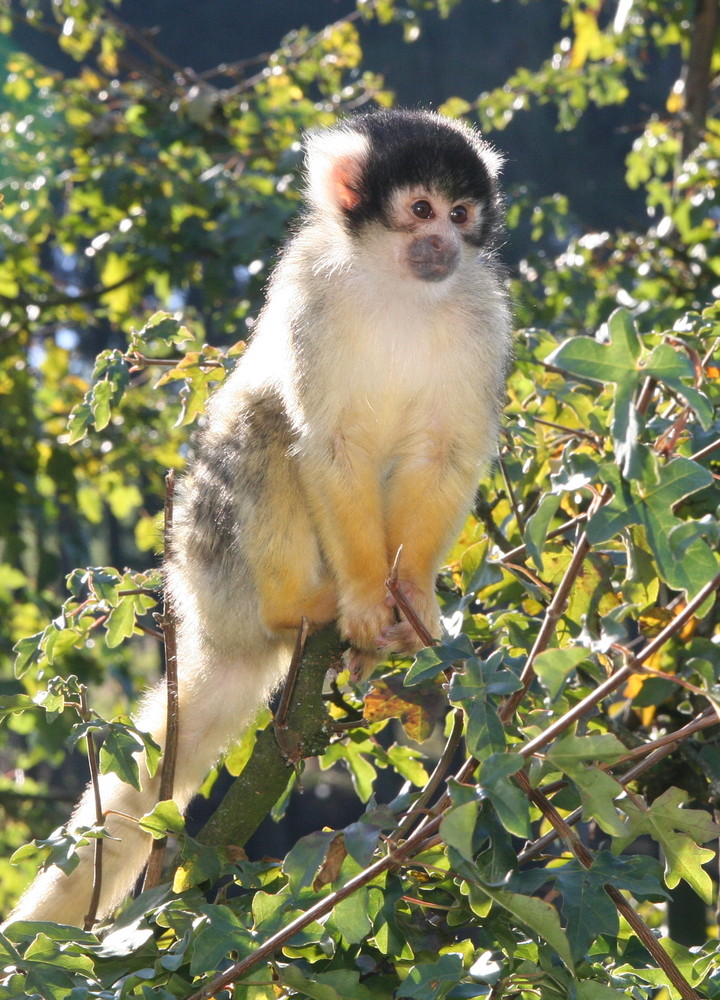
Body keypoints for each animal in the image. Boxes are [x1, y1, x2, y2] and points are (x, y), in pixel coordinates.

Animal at [7, 105, 512, 924]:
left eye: (462, 215)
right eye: (420, 210)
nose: (442, 244)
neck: (398, 285)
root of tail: (212, 629)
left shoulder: (483, 315)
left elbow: (443, 453)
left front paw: (411, 602)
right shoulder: (311, 287)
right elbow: (326, 443)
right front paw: (367, 600)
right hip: (211, 566)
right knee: (261, 420)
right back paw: (297, 609)